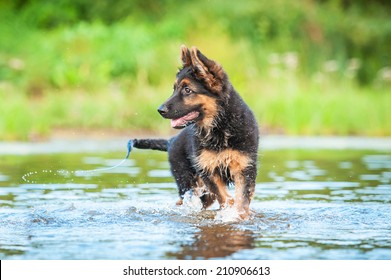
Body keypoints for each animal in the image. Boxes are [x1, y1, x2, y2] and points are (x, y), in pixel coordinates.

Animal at [132, 46, 260, 219]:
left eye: (187, 90)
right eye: (174, 89)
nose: (160, 110)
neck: (220, 126)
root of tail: (171, 141)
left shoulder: (245, 168)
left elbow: (242, 199)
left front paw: (239, 215)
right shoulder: (207, 171)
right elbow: (226, 198)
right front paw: (230, 211)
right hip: (189, 182)